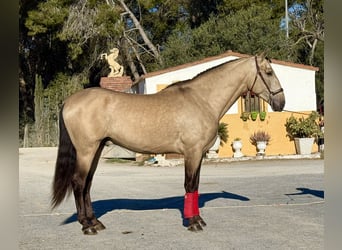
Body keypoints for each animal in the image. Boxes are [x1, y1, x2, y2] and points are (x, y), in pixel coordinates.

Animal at [51, 54, 286, 234]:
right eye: (268, 73)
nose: (280, 103)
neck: (202, 99)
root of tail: (69, 101)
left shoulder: (198, 154)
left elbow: (195, 185)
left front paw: (197, 219)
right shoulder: (192, 152)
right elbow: (190, 185)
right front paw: (193, 223)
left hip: (97, 149)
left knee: (87, 184)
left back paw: (95, 222)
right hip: (86, 150)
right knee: (78, 183)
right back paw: (87, 226)